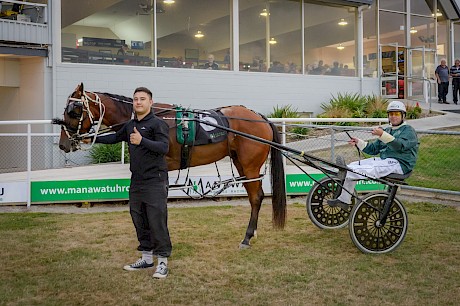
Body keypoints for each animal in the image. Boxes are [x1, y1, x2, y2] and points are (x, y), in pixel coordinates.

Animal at [53, 82, 284, 247]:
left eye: (74, 110)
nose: (64, 143)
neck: (150, 120)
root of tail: (260, 118)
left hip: (250, 166)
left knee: (256, 197)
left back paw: (247, 237)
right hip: (240, 164)